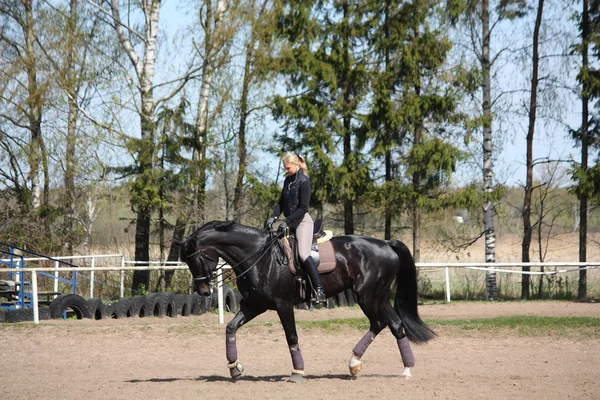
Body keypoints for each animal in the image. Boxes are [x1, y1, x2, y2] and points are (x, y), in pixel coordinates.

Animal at [179, 220, 436, 382]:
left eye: (196, 258)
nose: (203, 291)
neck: (259, 256)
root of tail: (386, 243)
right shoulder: (255, 305)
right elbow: (231, 328)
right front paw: (235, 368)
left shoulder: (282, 305)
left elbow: (291, 337)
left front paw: (297, 372)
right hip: (378, 297)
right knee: (395, 325)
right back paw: (405, 369)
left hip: (367, 296)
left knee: (378, 323)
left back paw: (354, 362)